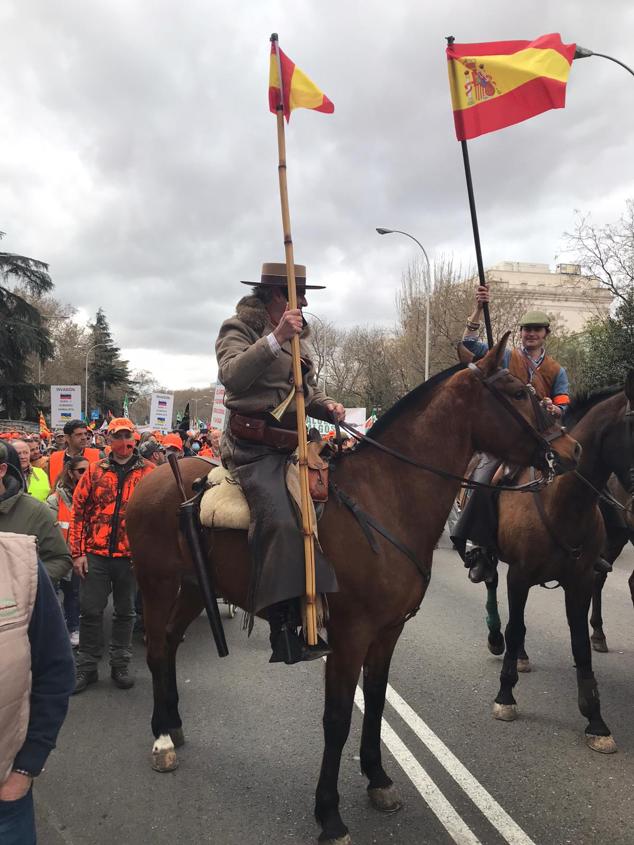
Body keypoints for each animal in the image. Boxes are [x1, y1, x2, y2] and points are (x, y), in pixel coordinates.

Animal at [124, 336, 576, 844]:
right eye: (517, 392)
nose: (571, 448)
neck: (384, 498)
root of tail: (155, 478)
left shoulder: (387, 632)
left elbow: (374, 701)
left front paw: (378, 779)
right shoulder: (349, 636)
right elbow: (338, 718)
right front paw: (330, 815)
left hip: (191, 590)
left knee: (170, 644)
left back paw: (173, 724)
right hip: (157, 585)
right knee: (157, 649)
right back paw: (162, 738)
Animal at [482, 370, 628, 752]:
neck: (563, 500)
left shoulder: (579, 581)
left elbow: (580, 645)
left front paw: (595, 719)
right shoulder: (519, 575)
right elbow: (515, 626)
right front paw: (505, 696)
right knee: (492, 588)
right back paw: (496, 639)